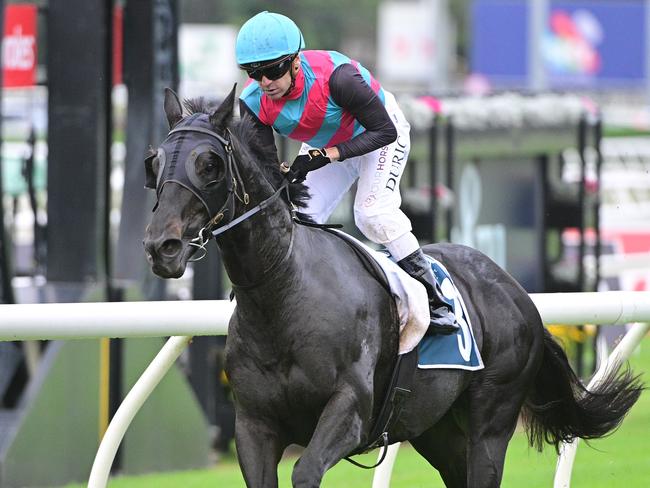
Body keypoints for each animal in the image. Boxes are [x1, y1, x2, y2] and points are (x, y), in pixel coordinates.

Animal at [140, 88, 636, 488]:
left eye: (209, 163)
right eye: (155, 162)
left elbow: (306, 471)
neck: (282, 292)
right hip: (435, 429)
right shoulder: (254, 426)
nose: (162, 246)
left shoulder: (350, 411)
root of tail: (514, 289)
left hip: (492, 419)